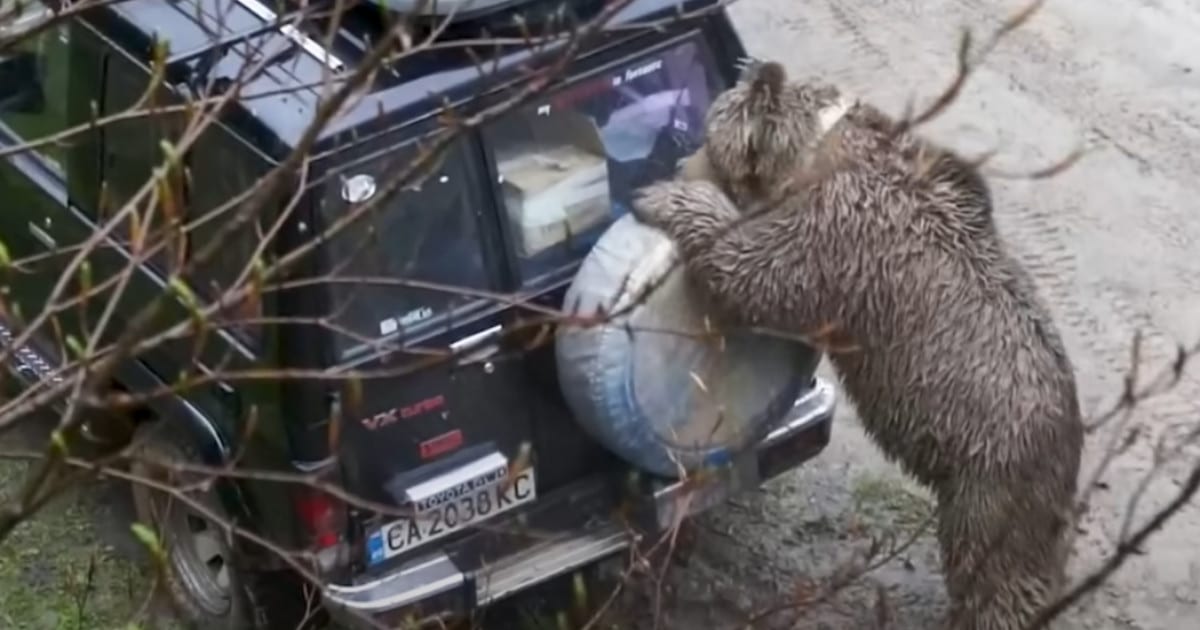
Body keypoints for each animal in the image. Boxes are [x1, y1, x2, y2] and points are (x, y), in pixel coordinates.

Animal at [633, 58, 1084, 628]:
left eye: (705, 138)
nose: (680, 163)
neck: (813, 150)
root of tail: (1073, 434)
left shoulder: (838, 231)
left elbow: (756, 271)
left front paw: (667, 199)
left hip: (993, 478)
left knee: (994, 575)